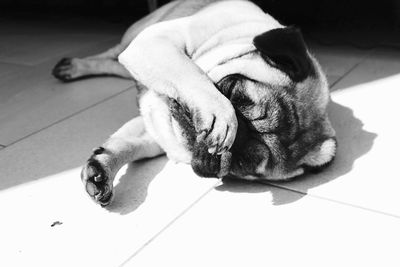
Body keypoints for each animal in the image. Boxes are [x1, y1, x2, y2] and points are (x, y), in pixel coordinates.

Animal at [51, 0, 336, 207]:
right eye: (232, 91)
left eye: (244, 164)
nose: (237, 138)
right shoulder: (155, 43)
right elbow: (190, 73)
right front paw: (221, 117)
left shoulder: (156, 133)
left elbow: (126, 145)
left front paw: (101, 170)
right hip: (135, 35)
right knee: (111, 55)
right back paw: (75, 67)